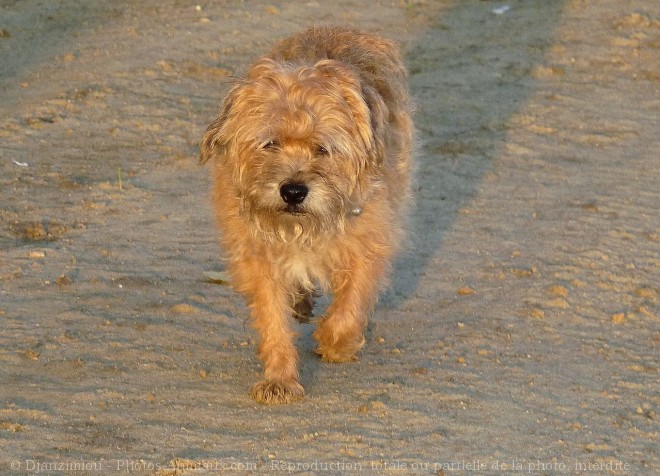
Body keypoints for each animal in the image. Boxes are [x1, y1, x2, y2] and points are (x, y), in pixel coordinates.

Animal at [200, 26, 412, 404]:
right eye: (269, 143)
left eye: (322, 149)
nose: (293, 191)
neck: (300, 229)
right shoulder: (257, 258)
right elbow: (272, 318)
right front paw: (280, 379)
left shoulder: (369, 243)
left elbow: (349, 305)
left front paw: (335, 344)